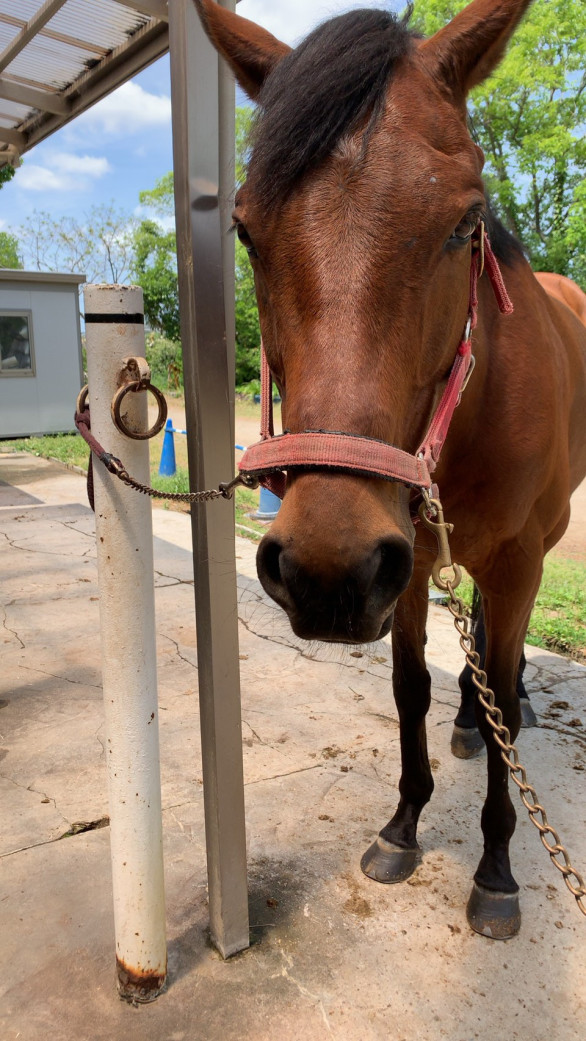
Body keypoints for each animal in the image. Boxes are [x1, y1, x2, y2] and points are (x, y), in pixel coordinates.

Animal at [195, 0, 586, 941]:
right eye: (246, 229)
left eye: (468, 222)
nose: (324, 569)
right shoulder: (399, 560)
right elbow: (409, 688)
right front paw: (404, 825)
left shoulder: (513, 559)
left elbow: (506, 688)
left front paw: (496, 869)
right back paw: (470, 721)